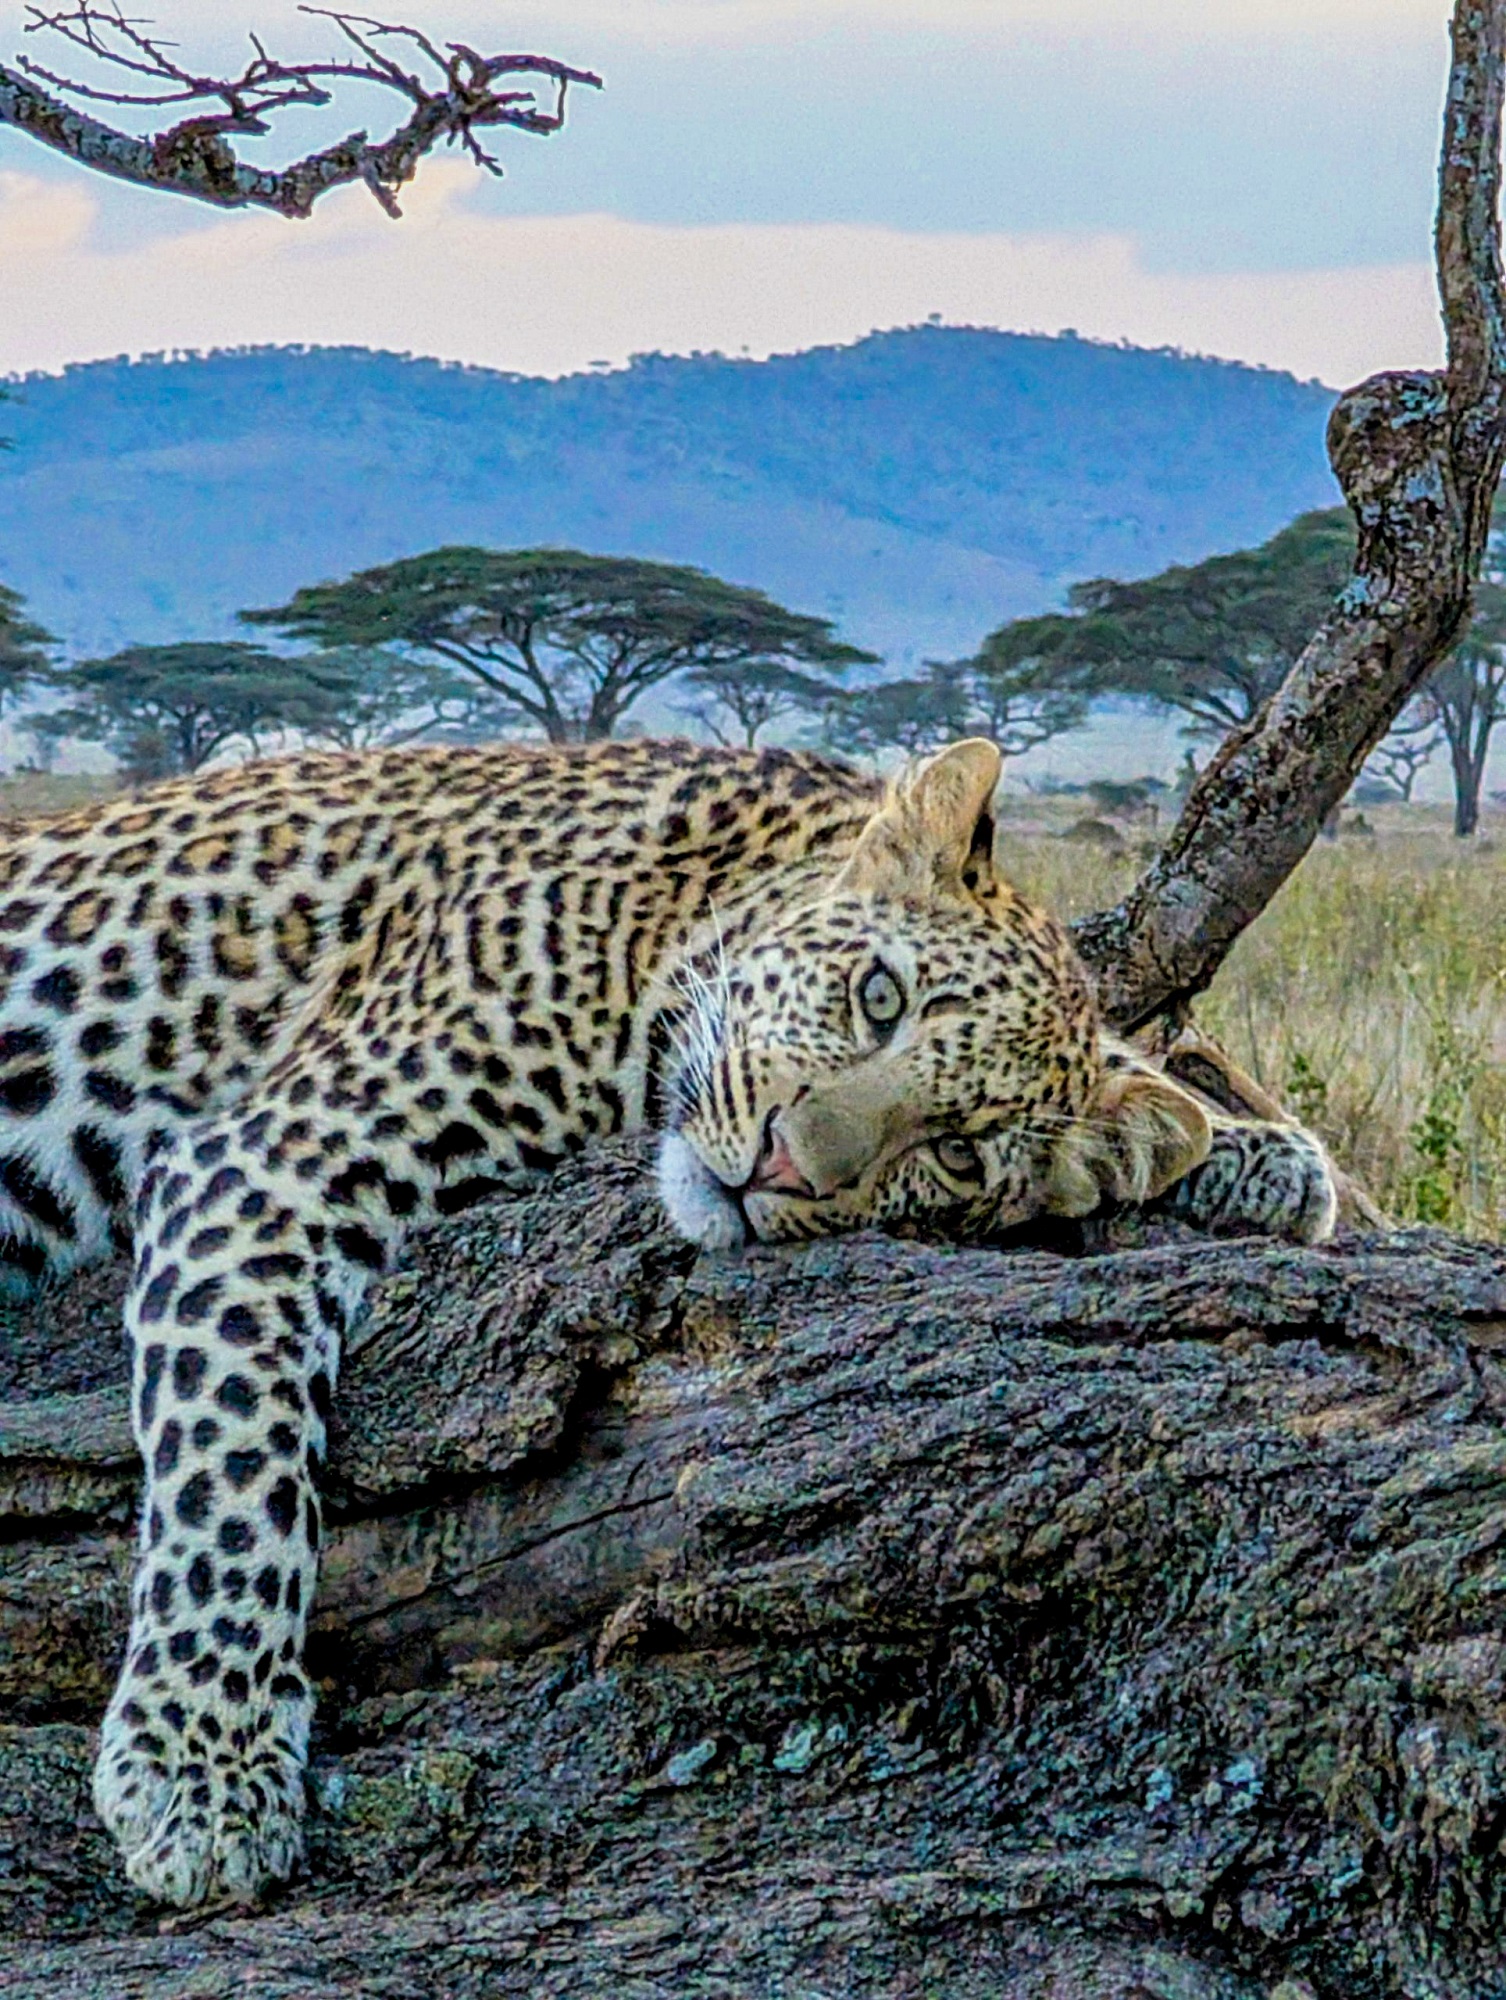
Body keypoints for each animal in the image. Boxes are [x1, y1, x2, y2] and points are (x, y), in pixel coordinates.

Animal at [0, 732, 1336, 1909]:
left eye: (955, 1154)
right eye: (879, 995)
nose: (785, 1166)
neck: (690, 904)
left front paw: (1250, 1155)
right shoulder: (265, 1163)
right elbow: (238, 1473)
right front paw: (202, 1768)